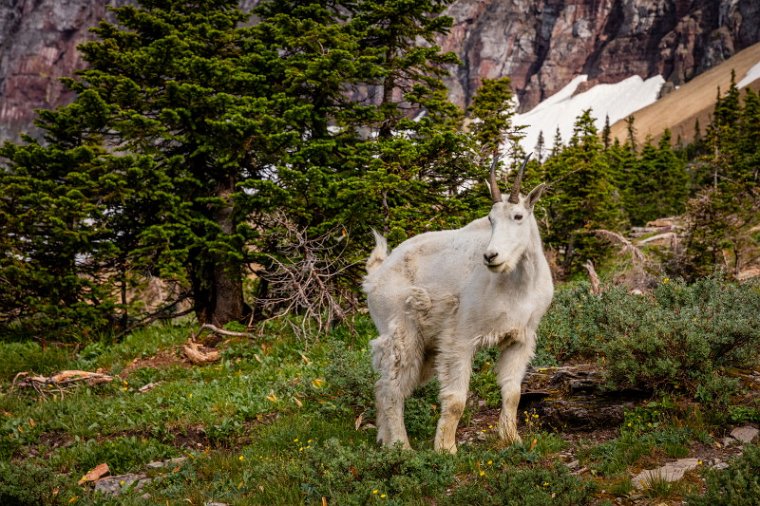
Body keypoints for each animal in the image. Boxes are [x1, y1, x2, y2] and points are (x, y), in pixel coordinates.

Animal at [362, 156, 552, 452]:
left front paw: (512, 439)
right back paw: (402, 447)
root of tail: (374, 276)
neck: (516, 285)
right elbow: (456, 399)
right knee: (391, 388)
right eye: (490, 219)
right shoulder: (460, 339)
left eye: (518, 216)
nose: (491, 256)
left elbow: (512, 392)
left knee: (383, 385)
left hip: (426, 348)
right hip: (402, 333)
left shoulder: (520, 338)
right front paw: (446, 449)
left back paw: (385, 440)